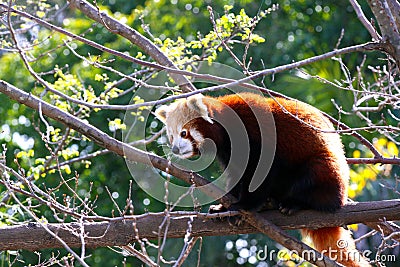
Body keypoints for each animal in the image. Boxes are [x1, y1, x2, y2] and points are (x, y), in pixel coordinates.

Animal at [155, 92, 370, 267]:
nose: (175, 149)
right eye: (171, 136)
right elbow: (236, 176)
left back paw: (294, 202)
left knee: (316, 178)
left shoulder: (255, 135)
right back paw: (271, 203)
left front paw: (242, 207)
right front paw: (224, 207)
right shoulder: (228, 153)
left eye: (184, 133)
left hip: (325, 170)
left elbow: (261, 173)